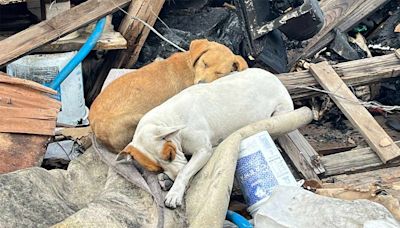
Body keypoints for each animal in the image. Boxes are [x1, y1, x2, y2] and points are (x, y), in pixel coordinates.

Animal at [122, 67, 294, 208]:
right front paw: (167, 178)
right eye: (157, 168)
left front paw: (174, 192)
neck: (172, 119)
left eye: (170, 155)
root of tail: (275, 78)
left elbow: (185, 171)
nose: (172, 177)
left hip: (280, 113)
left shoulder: (203, 150)